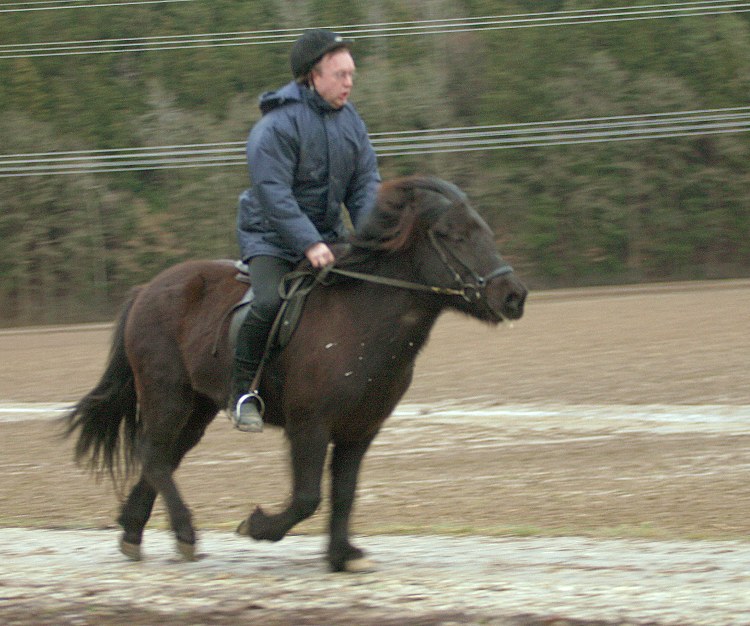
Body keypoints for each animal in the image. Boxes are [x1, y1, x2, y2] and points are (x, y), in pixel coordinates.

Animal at [63, 174, 528, 572]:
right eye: (453, 234)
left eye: (484, 231)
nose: (514, 296)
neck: (361, 320)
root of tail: (147, 289)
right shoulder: (310, 425)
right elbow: (308, 497)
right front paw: (258, 526)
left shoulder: (360, 430)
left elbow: (344, 493)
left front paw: (342, 554)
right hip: (167, 396)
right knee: (155, 454)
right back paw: (184, 533)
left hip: (197, 407)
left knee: (163, 457)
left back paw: (133, 532)